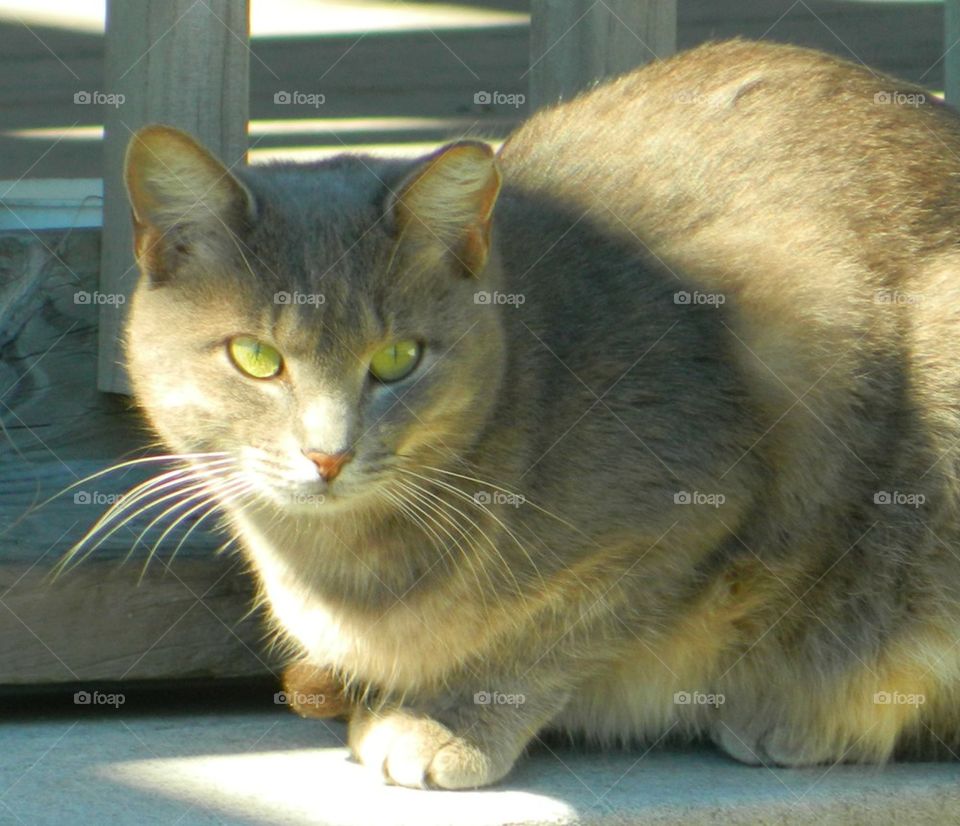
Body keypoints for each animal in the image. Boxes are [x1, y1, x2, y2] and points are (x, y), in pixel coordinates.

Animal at [120, 41, 960, 788]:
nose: (330, 454)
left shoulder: (697, 504)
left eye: (397, 359)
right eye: (256, 357)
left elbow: (554, 632)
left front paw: (447, 720)